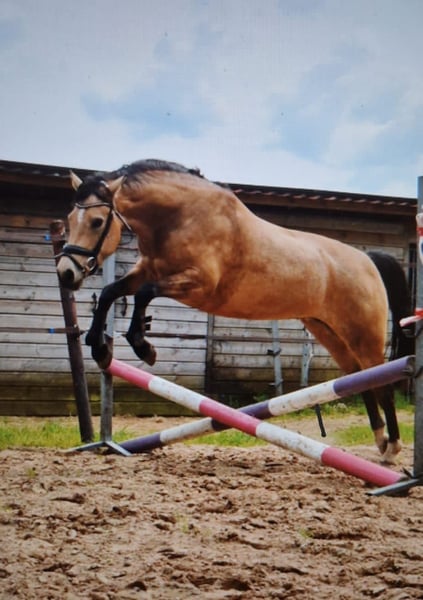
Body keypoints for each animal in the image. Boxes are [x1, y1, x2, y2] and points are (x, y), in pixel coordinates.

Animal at [56, 159, 413, 464]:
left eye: (97, 222)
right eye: (68, 220)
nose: (66, 273)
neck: (180, 216)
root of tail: (367, 260)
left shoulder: (198, 284)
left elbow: (143, 295)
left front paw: (144, 347)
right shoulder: (147, 271)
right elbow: (109, 292)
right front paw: (100, 349)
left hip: (363, 334)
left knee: (380, 379)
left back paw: (393, 447)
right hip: (329, 331)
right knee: (360, 379)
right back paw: (381, 440)